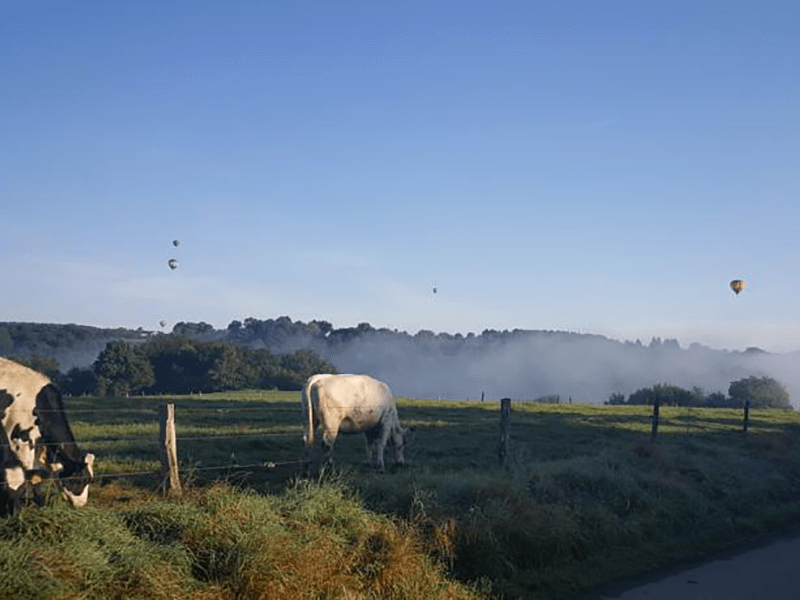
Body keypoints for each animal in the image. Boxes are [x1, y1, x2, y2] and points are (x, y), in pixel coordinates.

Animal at [0, 356, 94, 516]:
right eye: (81, 480)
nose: (82, 504)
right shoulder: (21, 442)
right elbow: (26, 474)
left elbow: (34, 478)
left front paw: (39, 503)